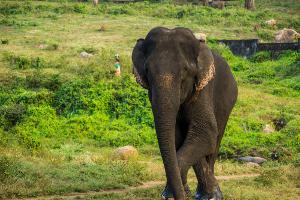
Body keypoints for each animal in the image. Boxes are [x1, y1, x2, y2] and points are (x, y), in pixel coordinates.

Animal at [132, 27, 238, 200]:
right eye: (147, 71)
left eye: (185, 71)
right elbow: (177, 135)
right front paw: (173, 193)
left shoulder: (203, 88)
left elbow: (205, 133)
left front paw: (175, 193)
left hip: (228, 102)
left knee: (215, 141)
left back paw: (212, 195)